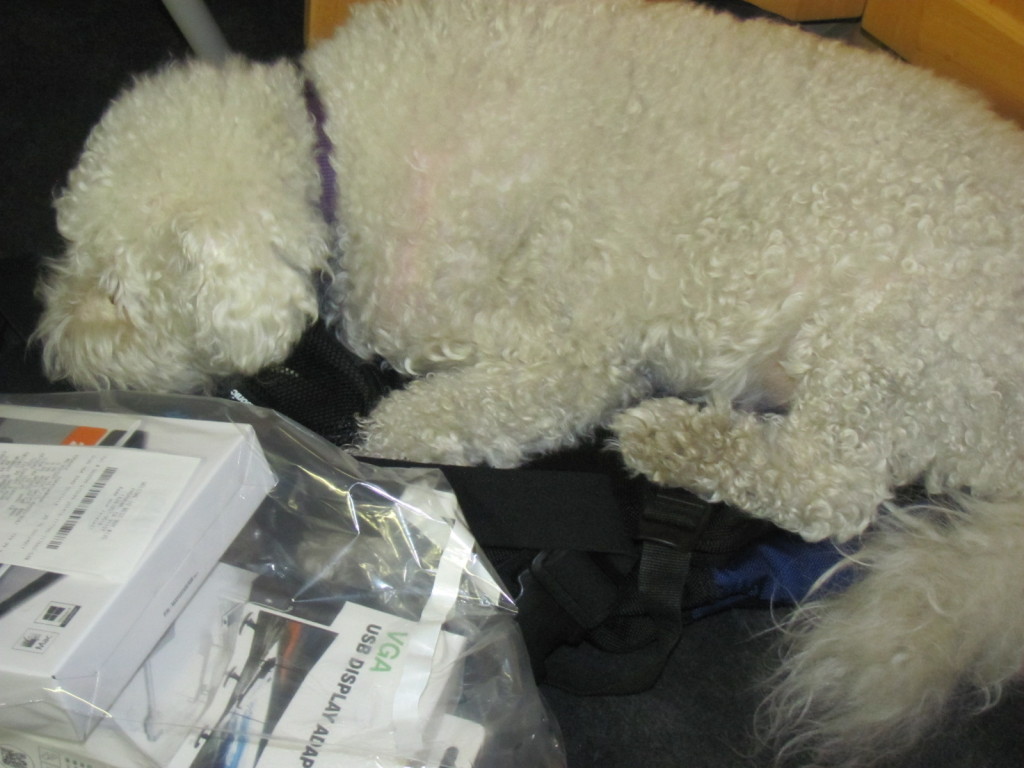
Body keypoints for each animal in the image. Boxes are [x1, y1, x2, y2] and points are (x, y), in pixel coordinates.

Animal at [32, 0, 1024, 765]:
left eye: (115, 293)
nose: (51, 353)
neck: (333, 155)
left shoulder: (567, 358)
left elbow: (419, 420)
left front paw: (372, 471)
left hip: (890, 335)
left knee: (833, 489)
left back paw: (676, 437)